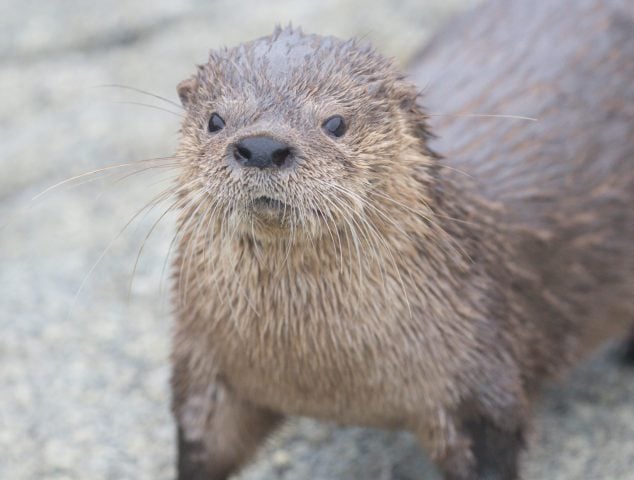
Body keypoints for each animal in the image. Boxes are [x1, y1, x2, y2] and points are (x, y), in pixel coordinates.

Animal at [167, 1, 632, 478]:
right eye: (215, 120)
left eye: (335, 122)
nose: (261, 146)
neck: (319, 374)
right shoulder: (202, 369)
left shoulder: (480, 376)